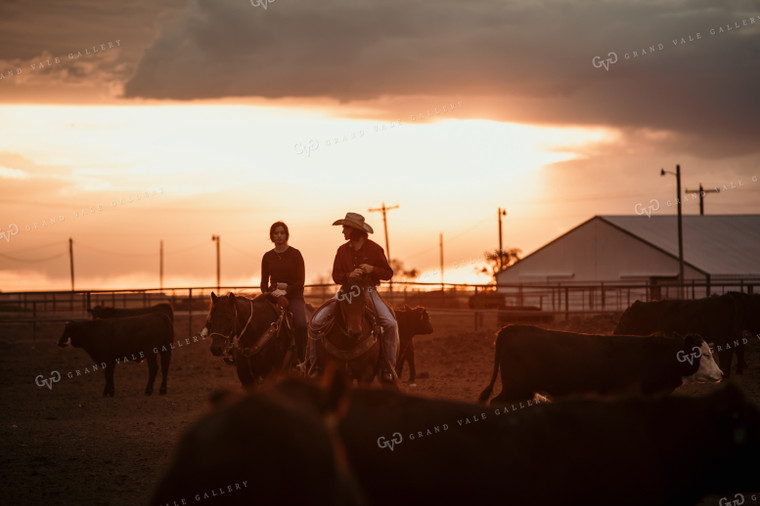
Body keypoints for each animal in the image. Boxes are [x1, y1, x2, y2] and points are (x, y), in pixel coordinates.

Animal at [616, 292, 752, 376]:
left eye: (622, 322)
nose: (615, 333)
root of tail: (727, 298)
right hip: (736, 333)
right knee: (739, 348)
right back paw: (739, 370)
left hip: (721, 335)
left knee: (727, 352)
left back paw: (725, 372)